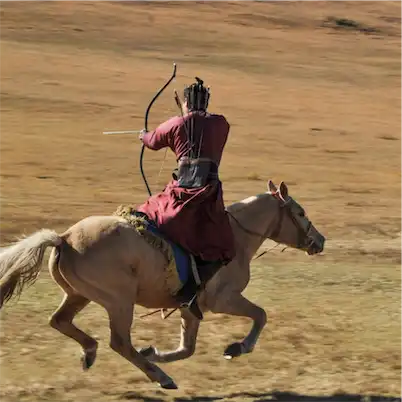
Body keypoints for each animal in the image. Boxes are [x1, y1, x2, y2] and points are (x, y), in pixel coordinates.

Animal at [0, 180, 326, 390]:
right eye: (300, 213)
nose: (320, 241)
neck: (236, 238)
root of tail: (64, 238)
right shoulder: (225, 300)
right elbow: (260, 315)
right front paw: (237, 347)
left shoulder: (189, 308)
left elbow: (187, 348)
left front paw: (154, 352)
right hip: (119, 302)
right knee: (119, 342)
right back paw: (161, 378)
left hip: (79, 295)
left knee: (60, 321)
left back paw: (91, 353)